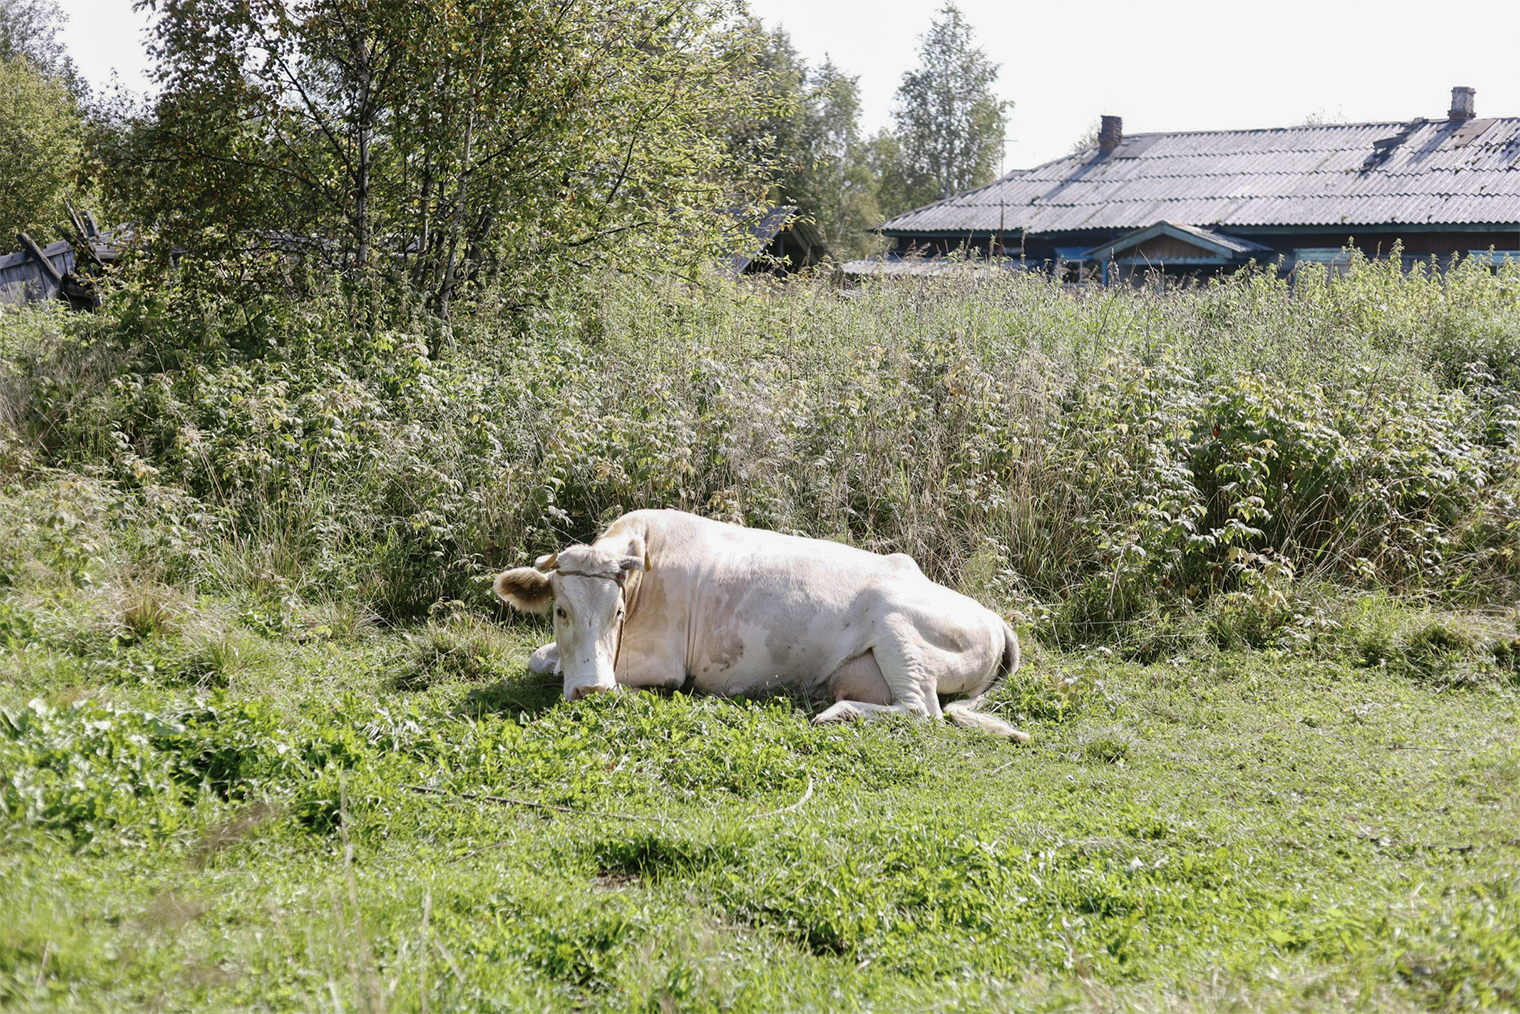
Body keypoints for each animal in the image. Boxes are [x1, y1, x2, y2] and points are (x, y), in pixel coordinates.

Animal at [492, 510, 1027, 741]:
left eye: (617, 613)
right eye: (560, 611)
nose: (592, 690)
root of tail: (994, 618)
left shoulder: (664, 665)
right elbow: (539, 657)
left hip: (899, 629)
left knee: (922, 711)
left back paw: (836, 714)